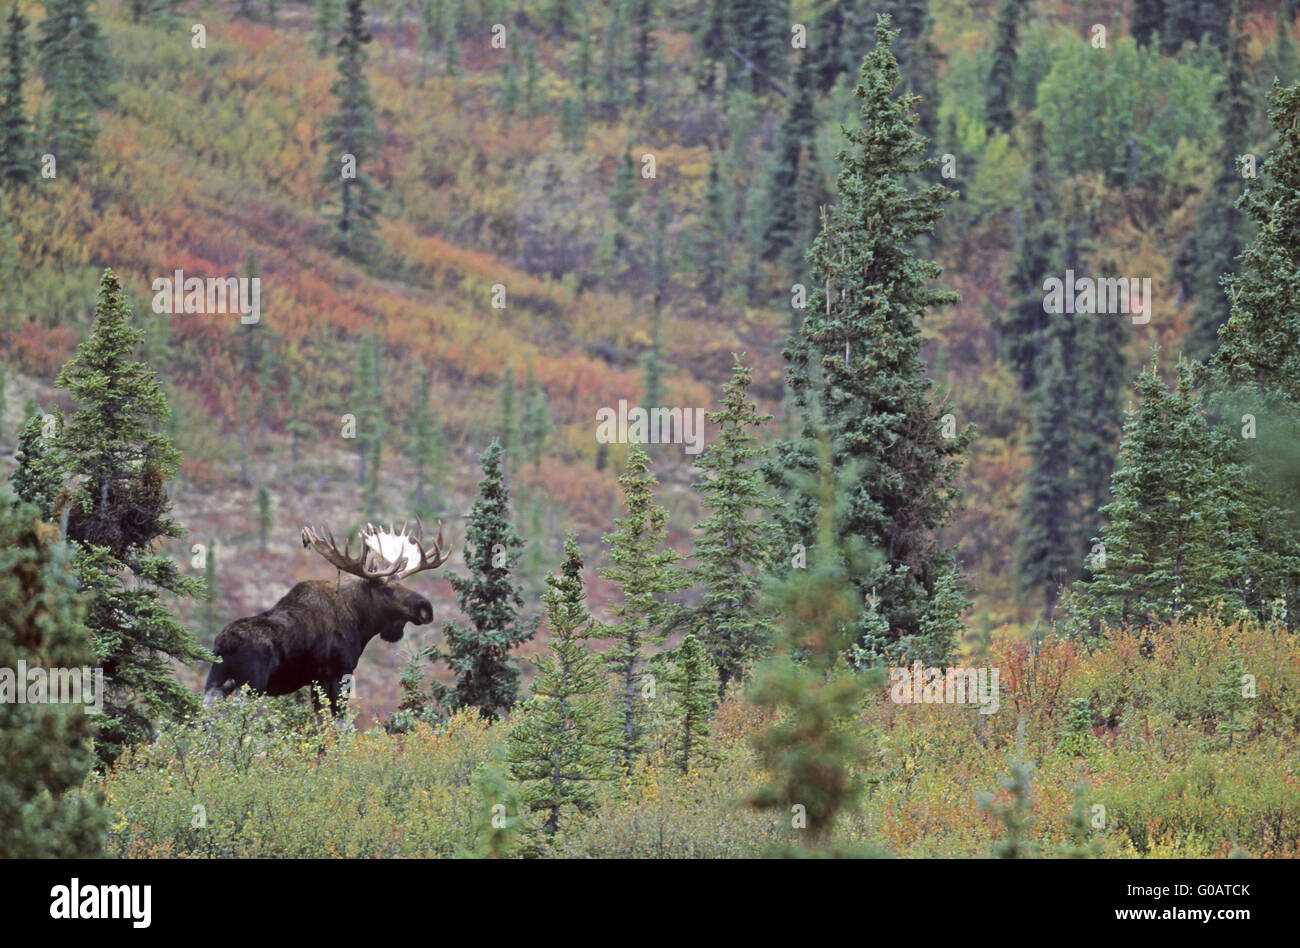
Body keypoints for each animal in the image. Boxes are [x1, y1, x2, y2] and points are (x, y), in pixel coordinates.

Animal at [200, 517, 449, 707]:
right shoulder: (338, 674)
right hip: (251, 685)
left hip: (216, 682)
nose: (426, 608)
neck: (360, 621)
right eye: (387, 588)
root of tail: (225, 643)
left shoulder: (316, 681)